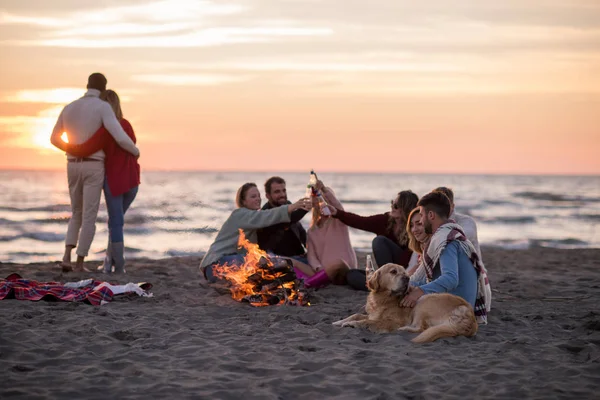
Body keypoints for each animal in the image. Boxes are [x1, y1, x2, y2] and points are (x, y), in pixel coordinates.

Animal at [332, 262, 478, 344]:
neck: (385, 299)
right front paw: (339, 321)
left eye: (405, 272)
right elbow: (356, 314)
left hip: (423, 301)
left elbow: (367, 321)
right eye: (393, 272)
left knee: (421, 328)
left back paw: (403, 329)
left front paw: (352, 324)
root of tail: (471, 318)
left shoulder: (392, 321)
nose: (407, 278)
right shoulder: (373, 314)